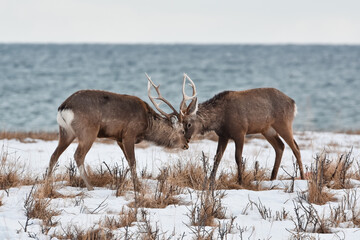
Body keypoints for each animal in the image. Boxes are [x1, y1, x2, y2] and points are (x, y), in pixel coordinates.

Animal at [47, 74, 188, 190]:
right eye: (182, 131)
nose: (186, 145)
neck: (147, 125)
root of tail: (63, 107)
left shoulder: (119, 138)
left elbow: (128, 161)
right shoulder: (129, 134)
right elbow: (133, 161)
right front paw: (138, 187)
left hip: (66, 131)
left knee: (54, 155)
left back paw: (47, 184)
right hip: (87, 131)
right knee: (78, 155)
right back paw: (90, 187)